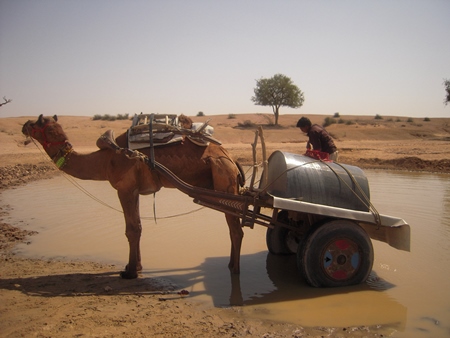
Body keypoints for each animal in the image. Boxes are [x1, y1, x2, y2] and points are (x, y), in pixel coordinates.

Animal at [22, 115, 243, 278]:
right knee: (233, 227)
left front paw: (129, 272)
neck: (106, 160)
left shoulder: (124, 188)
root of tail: (231, 160)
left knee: (236, 230)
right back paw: (230, 264)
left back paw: (235, 269)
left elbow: (131, 229)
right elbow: (138, 227)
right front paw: (135, 266)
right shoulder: (133, 190)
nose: (25, 125)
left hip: (224, 179)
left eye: (46, 126)